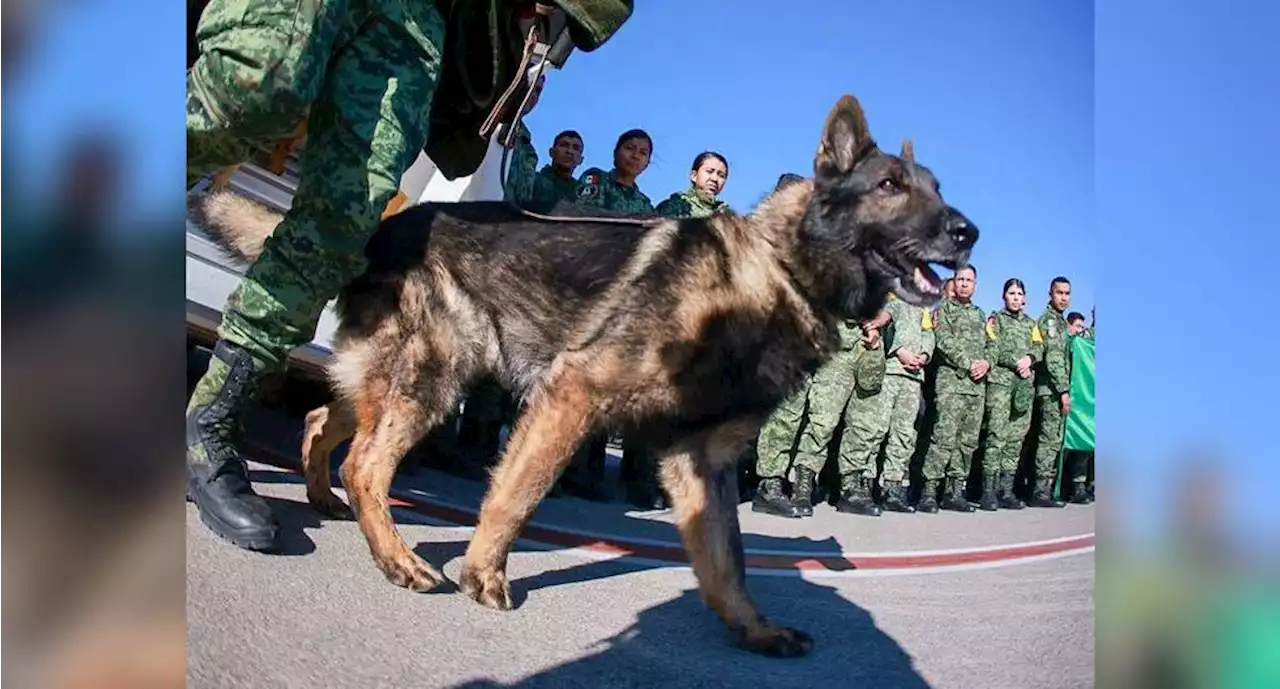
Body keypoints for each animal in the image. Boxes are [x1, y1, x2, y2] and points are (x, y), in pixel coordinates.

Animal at [189, 92, 972, 653]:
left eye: (936, 189)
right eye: (890, 184)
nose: (969, 232)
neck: (777, 271)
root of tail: (383, 228)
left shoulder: (701, 463)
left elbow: (727, 558)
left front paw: (752, 627)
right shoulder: (573, 395)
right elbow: (518, 494)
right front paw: (484, 573)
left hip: (405, 376)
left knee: (325, 417)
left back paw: (325, 498)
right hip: (437, 375)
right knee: (367, 462)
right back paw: (396, 556)